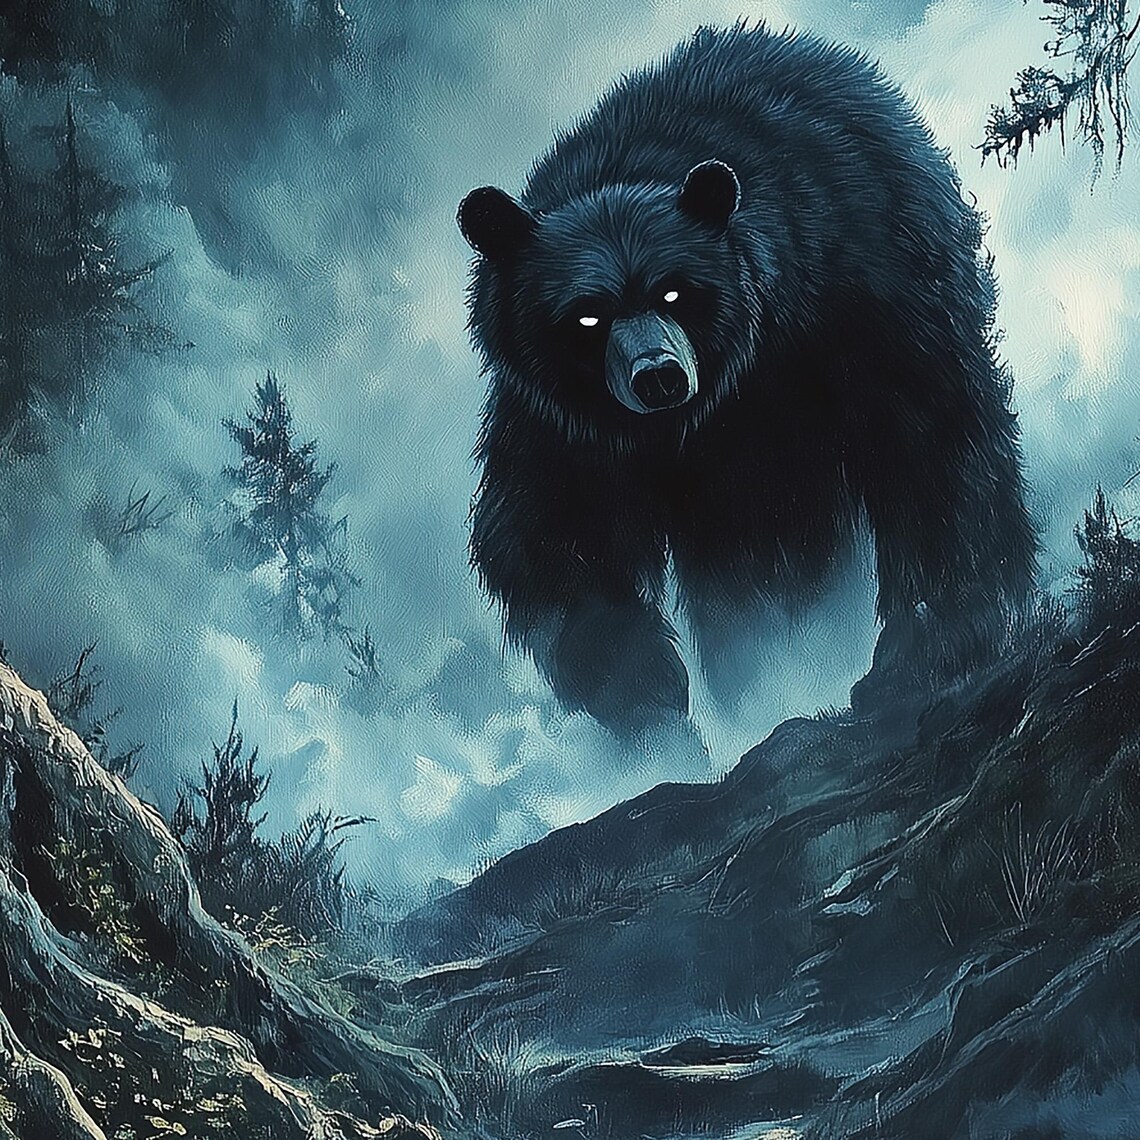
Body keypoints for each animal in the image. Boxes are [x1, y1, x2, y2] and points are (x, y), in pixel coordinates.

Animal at [456, 23, 1036, 735]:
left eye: (676, 291)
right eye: (587, 315)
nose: (659, 377)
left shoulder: (859, 306)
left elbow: (928, 444)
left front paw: (924, 650)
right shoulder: (559, 427)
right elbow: (554, 540)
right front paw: (649, 701)